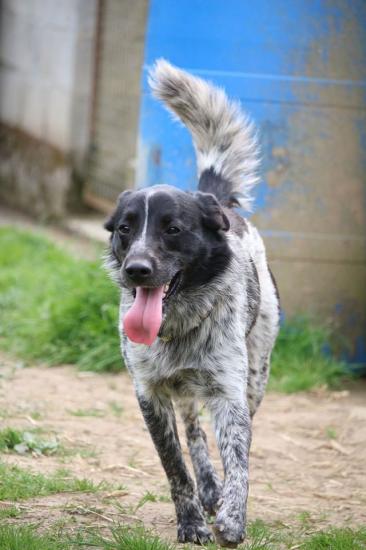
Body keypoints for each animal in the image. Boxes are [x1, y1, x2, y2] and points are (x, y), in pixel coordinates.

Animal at [104, 59, 278, 548]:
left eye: (173, 229)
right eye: (124, 229)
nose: (137, 270)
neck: (178, 325)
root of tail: (215, 199)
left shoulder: (230, 392)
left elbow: (239, 459)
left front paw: (233, 520)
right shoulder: (149, 393)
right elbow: (175, 466)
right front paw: (191, 521)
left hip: (255, 376)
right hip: (182, 391)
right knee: (194, 432)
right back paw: (207, 488)